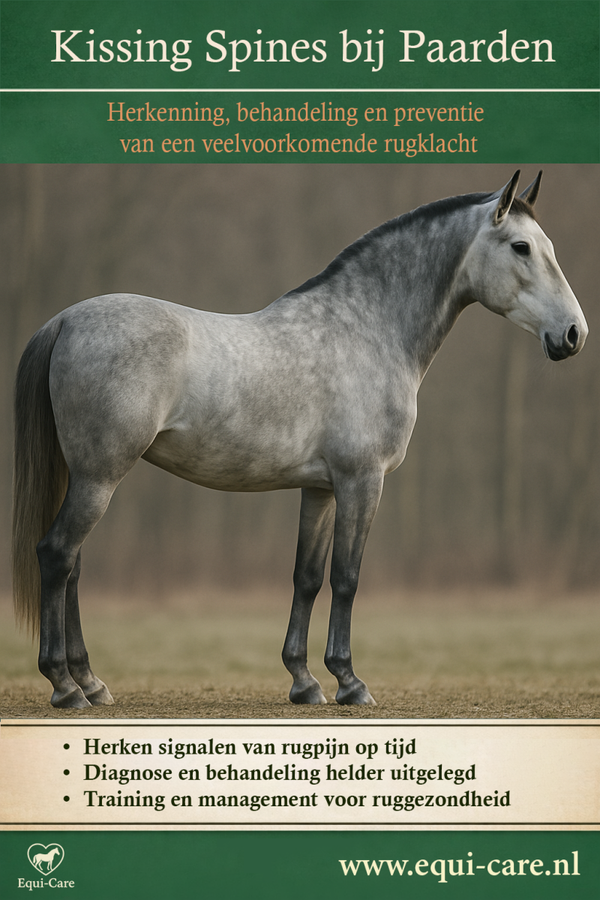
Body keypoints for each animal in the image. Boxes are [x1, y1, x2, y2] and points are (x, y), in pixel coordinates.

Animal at [12, 170, 587, 709]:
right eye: (521, 247)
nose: (574, 334)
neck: (367, 330)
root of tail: (65, 320)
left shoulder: (321, 489)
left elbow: (307, 577)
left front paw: (304, 681)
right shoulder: (362, 481)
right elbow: (347, 577)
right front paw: (350, 681)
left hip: (87, 477)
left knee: (73, 567)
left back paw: (91, 682)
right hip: (100, 477)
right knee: (57, 554)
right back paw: (65, 685)